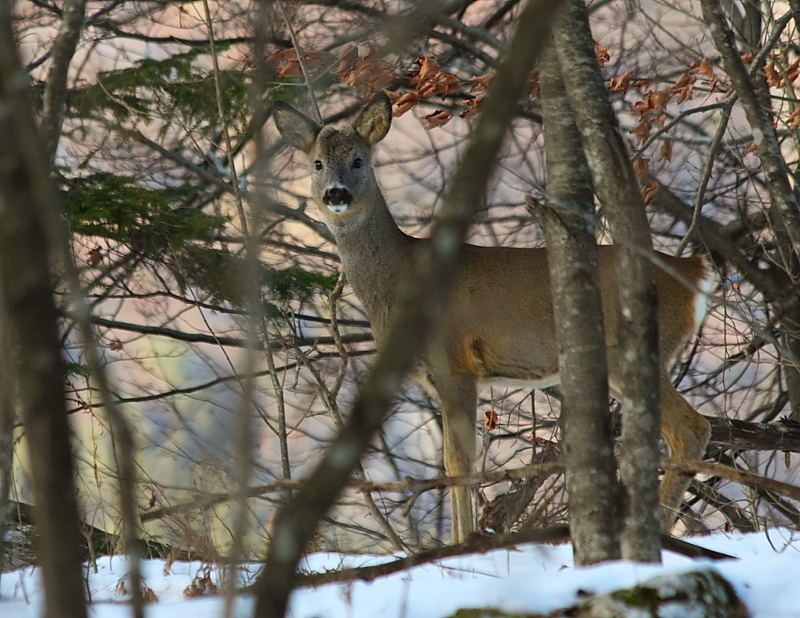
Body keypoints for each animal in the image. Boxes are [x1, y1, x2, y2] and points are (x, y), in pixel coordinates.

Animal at [276, 90, 712, 540]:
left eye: (359, 160)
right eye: (317, 163)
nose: (336, 193)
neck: (402, 277)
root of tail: (695, 273)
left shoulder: (455, 363)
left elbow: (459, 461)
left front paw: (461, 542)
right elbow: (453, 460)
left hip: (634, 351)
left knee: (692, 430)